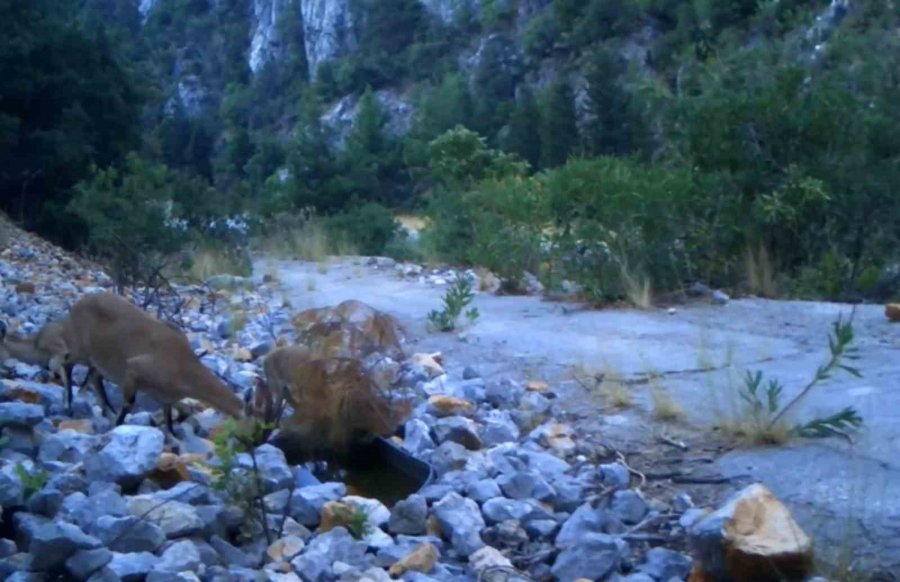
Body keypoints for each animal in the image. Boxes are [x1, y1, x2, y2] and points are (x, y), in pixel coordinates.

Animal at [64, 292, 244, 434]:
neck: (183, 365)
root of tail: (78, 304)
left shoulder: (165, 398)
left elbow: (174, 419)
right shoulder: (134, 370)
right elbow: (129, 404)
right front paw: (118, 426)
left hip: (100, 360)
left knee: (95, 377)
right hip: (82, 349)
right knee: (68, 362)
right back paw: (70, 404)